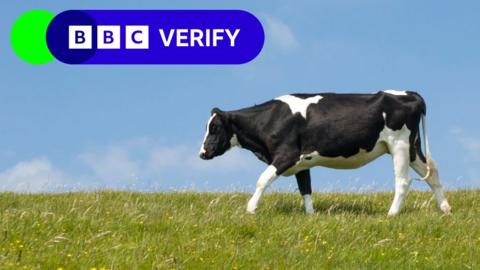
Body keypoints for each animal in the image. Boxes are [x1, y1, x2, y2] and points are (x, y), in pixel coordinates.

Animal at [198, 89, 450, 216]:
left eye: (215, 127)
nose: (202, 153)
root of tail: (409, 93)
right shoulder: (301, 162)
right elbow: (306, 189)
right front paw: (310, 216)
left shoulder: (287, 155)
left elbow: (262, 180)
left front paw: (251, 209)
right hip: (412, 147)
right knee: (433, 173)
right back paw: (445, 209)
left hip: (399, 144)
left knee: (403, 180)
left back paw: (392, 214)